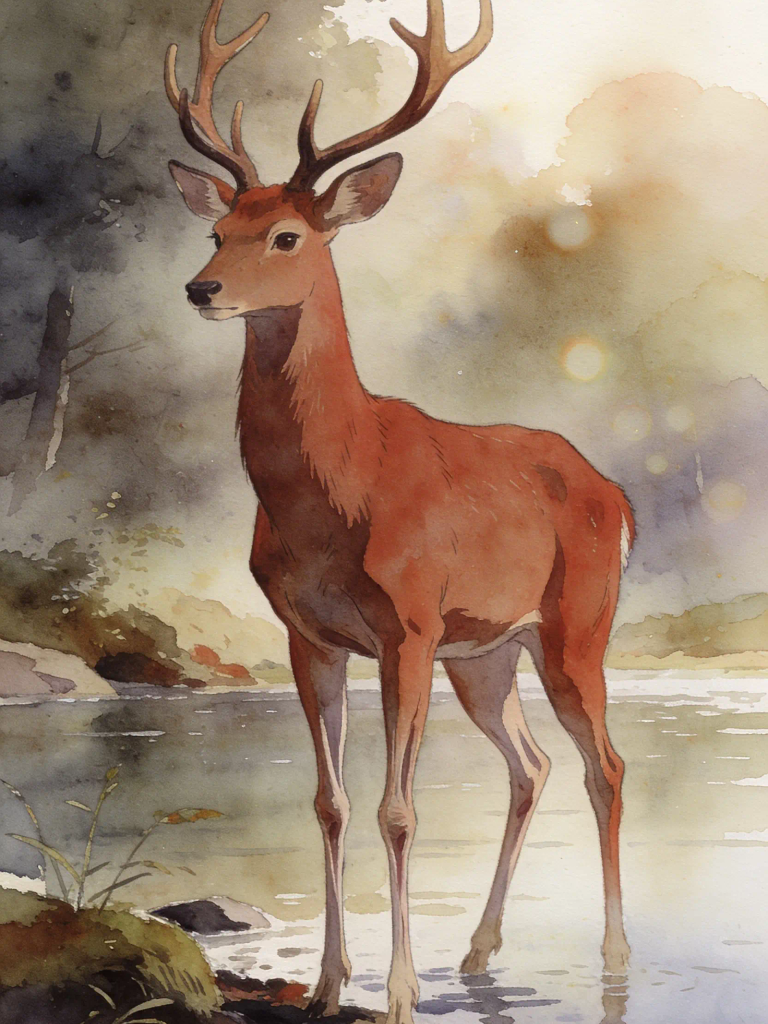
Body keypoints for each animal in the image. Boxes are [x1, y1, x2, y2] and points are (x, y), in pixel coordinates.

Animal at [164, 2, 634, 1021]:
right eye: (216, 227)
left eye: (286, 237)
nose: (200, 287)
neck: (337, 493)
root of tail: (615, 494)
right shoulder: (311, 634)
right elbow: (331, 803)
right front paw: (327, 985)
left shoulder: (408, 624)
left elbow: (398, 809)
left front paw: (400, 994)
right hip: (488, 654)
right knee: (531, 765)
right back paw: (480, 949)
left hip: (577, 627)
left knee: (605, 766)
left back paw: (616, 958)